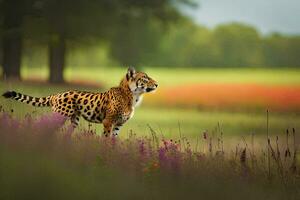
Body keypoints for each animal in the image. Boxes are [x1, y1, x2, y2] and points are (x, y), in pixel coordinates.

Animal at [2, 67, 158, 136]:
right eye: (145, 78)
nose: (157, 84)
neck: (133, 95)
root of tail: (56, 94)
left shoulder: (118, 124)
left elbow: (114, 140)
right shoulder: (108, 121)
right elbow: (106, 139)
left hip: (74, 120)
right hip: (59, 115)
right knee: (41, 124)